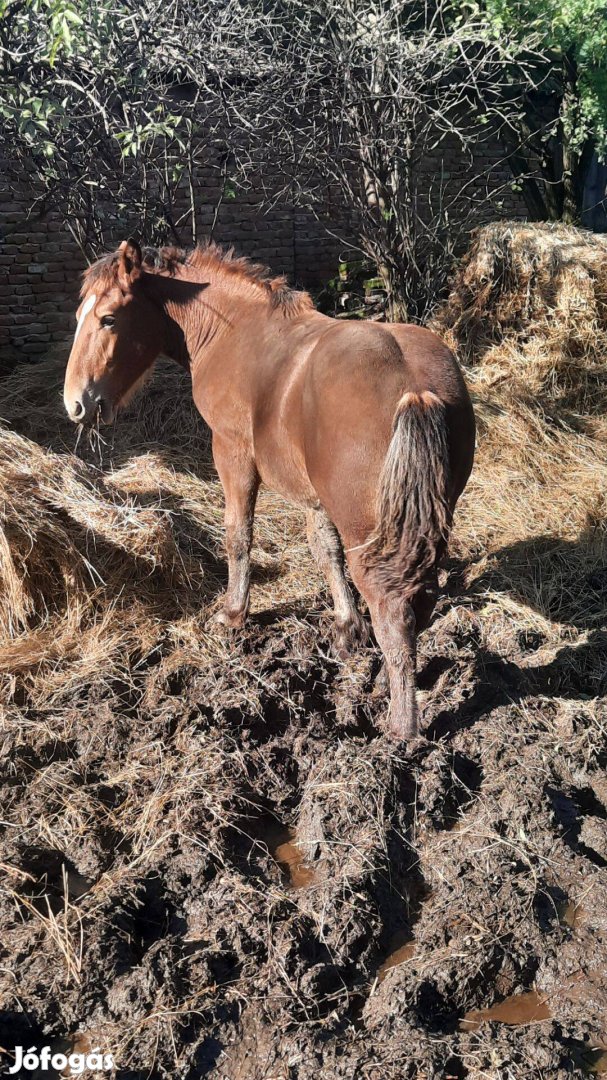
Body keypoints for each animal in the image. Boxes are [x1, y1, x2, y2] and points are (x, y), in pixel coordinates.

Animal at [65, 236, 473, 743]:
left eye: (108, 318)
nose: (75, 403)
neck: (234, 331)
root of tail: (416, 390)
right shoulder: (312, 492)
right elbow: (325, 550)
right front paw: (347, 628)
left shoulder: (233, 452)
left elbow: (239, 535)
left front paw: (232, 614)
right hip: (427, 525)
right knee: (422, 598)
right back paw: (382, 679)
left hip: (372, 535)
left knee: (395, 611)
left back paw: (401, 727)